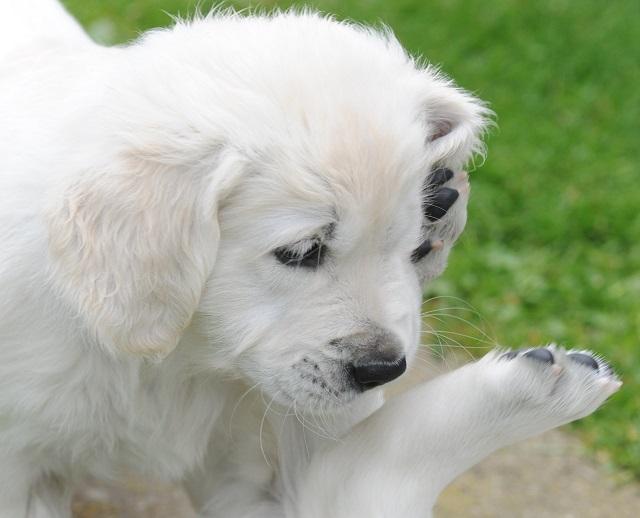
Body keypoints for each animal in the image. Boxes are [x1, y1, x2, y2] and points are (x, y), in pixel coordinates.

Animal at [0, 1, 620, 518]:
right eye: (301, 252)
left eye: (408, 246)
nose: (383, 370)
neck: (182, 362)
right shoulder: (18, 464)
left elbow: (360, 481)